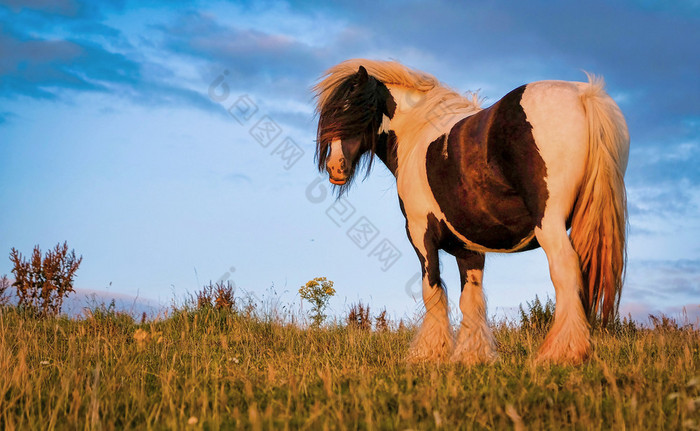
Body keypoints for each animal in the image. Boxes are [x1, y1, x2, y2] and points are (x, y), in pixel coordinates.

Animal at [312, 60, 628, 364]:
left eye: (356, 108)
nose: (336, 167)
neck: (417, 134)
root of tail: (583, 95)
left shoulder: (420, 234)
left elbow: (433, 290)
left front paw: (430, 354)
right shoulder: (469, 250)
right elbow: (471, 299)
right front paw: (471, 356)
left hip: (549, 225)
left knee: (565, 270)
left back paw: (562, 352)